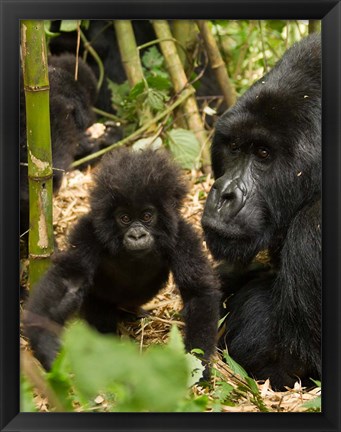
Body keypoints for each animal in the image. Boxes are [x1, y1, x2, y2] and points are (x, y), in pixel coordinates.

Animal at [23, 148, 220, 374]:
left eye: (147, 216)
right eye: (125, 218)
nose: (136, 235)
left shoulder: (182, 236)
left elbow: (198, 292)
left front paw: (196, 364)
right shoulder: (89, 232)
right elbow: (69, 282)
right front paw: (45, 344)